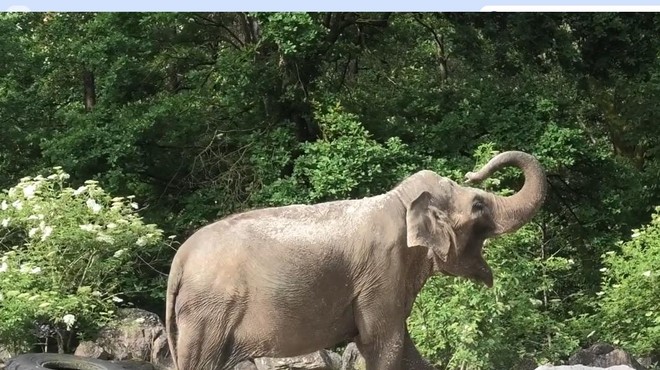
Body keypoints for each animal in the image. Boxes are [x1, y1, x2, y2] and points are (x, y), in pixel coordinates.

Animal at [164, 150, 548, 370]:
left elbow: (403, 349)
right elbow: (383, 344)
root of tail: (178, 262)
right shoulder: (382, 272)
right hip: (209, 314)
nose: (472, 172)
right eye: (478, 206)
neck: (399, 202)